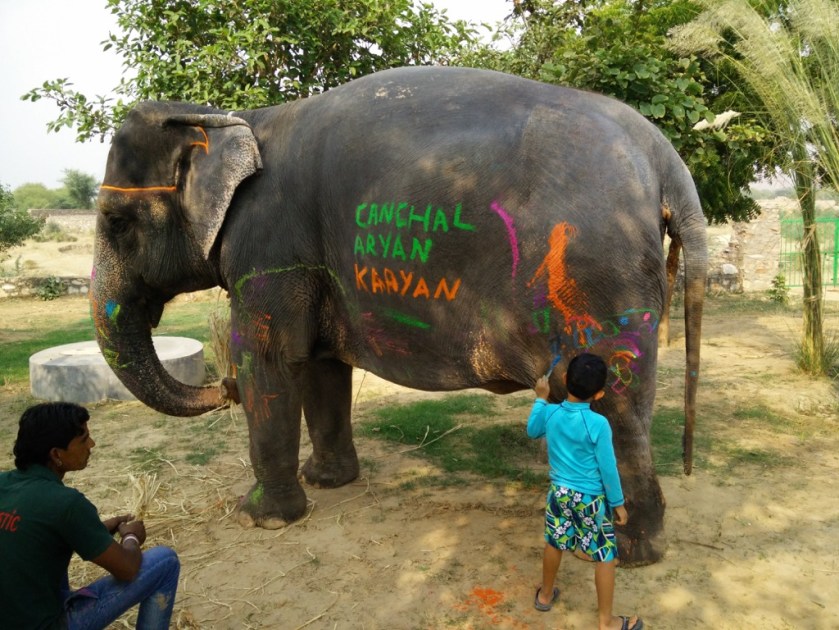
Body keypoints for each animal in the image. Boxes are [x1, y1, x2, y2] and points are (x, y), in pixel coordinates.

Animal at [91, 66, 707, 567]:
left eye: (117, 222)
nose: (222, 389)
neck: (234, 119)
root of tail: (663, 157)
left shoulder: (268, 245)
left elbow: (268, 359)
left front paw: (260, 519)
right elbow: (320, 364)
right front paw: (329, 482)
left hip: (596, 276)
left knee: (614, 405)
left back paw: (630, 553)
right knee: (628, 404)